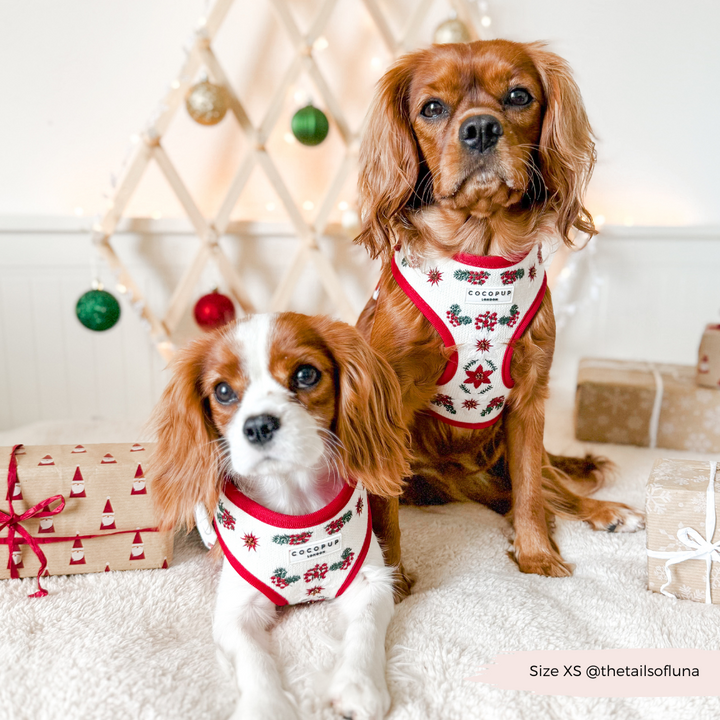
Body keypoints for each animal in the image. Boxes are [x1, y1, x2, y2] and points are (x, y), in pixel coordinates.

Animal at [354, 38, 640, 596]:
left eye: (518, 96)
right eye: (432, 108)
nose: (481, 128)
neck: (479, 257)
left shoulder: (529, 401)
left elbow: (530, 489)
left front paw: (536, 556)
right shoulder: (389, 411)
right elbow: (385, 515)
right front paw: (393, 582)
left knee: (548, 486)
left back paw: (602, 512)